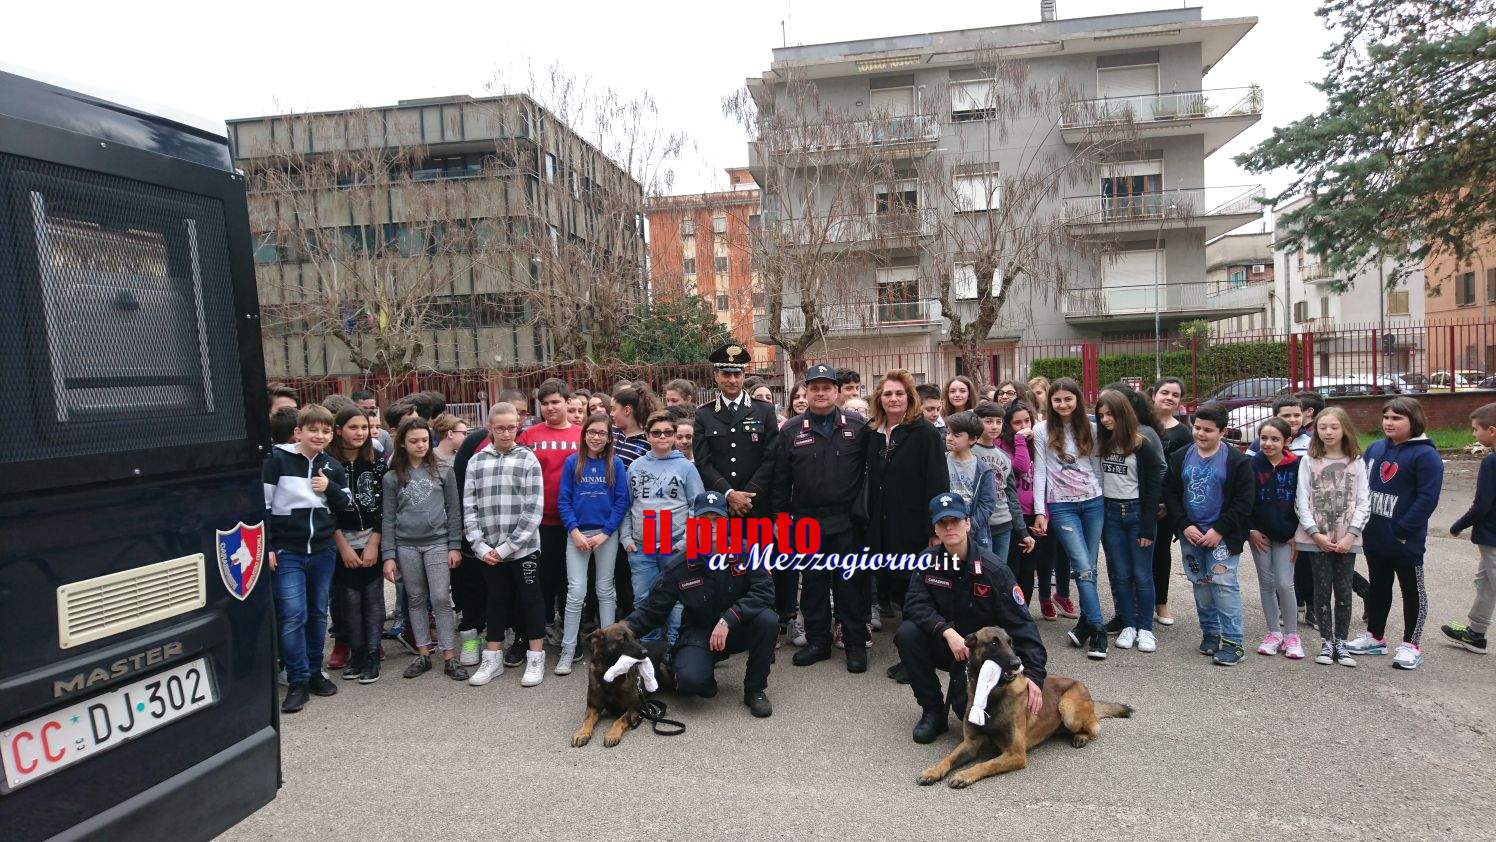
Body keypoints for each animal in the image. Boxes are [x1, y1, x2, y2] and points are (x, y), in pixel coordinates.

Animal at [568, 619, 676, 750]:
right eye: (622, 639)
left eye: (634, 637)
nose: (646, 652)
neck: (611, 674)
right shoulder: (593, 706)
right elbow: (587, 721)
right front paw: (582, 733)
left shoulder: (635, 707)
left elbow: (620, 720)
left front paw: (612, 734)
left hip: (664, 667)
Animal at [909, 625, 1130, 789]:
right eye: (994, 643)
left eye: (1011, 642)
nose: (1017, 663)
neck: (993, 694)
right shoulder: (971, 743)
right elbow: (948, 758)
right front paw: (932, 771)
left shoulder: (1015, 754)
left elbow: (986, 764)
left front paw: (965, 775)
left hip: (1067, 709)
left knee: (1094, 727)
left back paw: (1081, 737)